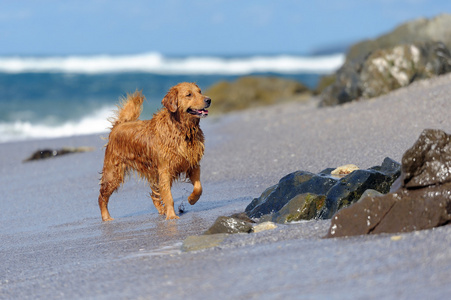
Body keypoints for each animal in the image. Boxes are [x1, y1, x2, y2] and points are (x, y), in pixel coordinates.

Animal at [98, 82, 211, 220]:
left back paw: (162, 210)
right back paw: (106, 217)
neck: (182, 129)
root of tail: (118, 126)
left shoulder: (193, 164)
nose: (208, 100)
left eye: (200, 92)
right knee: (102, 196)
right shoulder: (165, 170)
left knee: (154, 195)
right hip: (113, 173)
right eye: (189, 94)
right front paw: (172, 217)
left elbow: (198, 187)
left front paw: (191, 199)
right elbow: (168, 196)